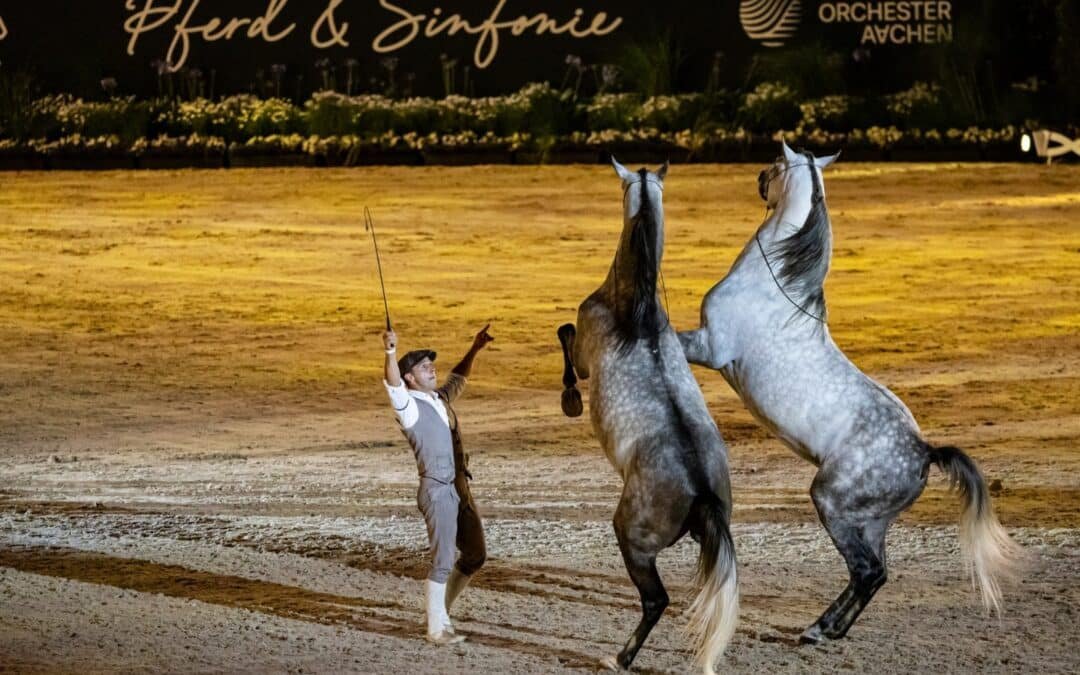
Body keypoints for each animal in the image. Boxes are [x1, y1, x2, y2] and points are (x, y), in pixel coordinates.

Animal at [557, 159, 739, 673]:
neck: (634, 315)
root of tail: (701, 489)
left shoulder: (583, 353)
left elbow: (565, 334)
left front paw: (570, 399)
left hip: (633, 539)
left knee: (656, 600)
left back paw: (620, 656)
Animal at [677, 141, 1023, 644]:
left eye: (777, 165)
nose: (759, 177)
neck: (774, 282)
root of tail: (923, 451)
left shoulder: (709, 346)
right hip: (870, 520)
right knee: (876, 572)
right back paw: (826, 629)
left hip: (833, 503)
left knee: (866, 571)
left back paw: (820, 630)